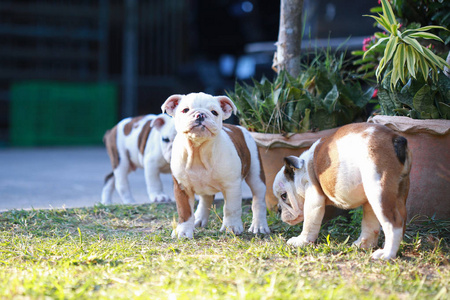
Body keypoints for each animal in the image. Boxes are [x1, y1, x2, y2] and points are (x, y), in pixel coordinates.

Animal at [160, 92, 268, 238]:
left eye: (214, 112)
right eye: (185, 110)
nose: (200, 114)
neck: (198, 150)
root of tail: (238, 127)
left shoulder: (231, 186)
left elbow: (231, 208)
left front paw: (232, 227)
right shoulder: (182, 187)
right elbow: (185, 211)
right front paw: (183, 231)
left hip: (256, 176)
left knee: (258, 200)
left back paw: (259, 225)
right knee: (205, 199)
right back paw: (199, 219)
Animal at [272, 123, 414, 258]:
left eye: (284, 196)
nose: (278, 210)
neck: (304, 171)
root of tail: (396, 138)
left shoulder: (313, 199)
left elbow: (309, 222)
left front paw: (301, 241)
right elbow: (370, 224)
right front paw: (365, 244)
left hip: (379, 192)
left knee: (394, 223)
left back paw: (387, 253)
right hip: (393, 191)